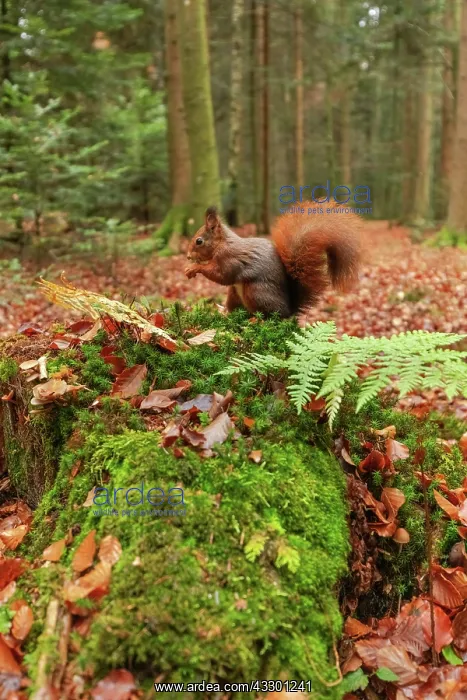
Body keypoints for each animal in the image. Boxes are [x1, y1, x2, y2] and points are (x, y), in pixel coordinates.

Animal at [184, 202, 362, 318]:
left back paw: (256, 320)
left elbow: (221, 275)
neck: (222, 244)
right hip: (234, 293)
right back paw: (224, 312)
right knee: (234, 308)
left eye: (199, 241)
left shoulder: (229, 258)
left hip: (256, 291)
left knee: (268, 316)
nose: (188, 256)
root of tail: (289, 309)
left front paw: (194, 268)